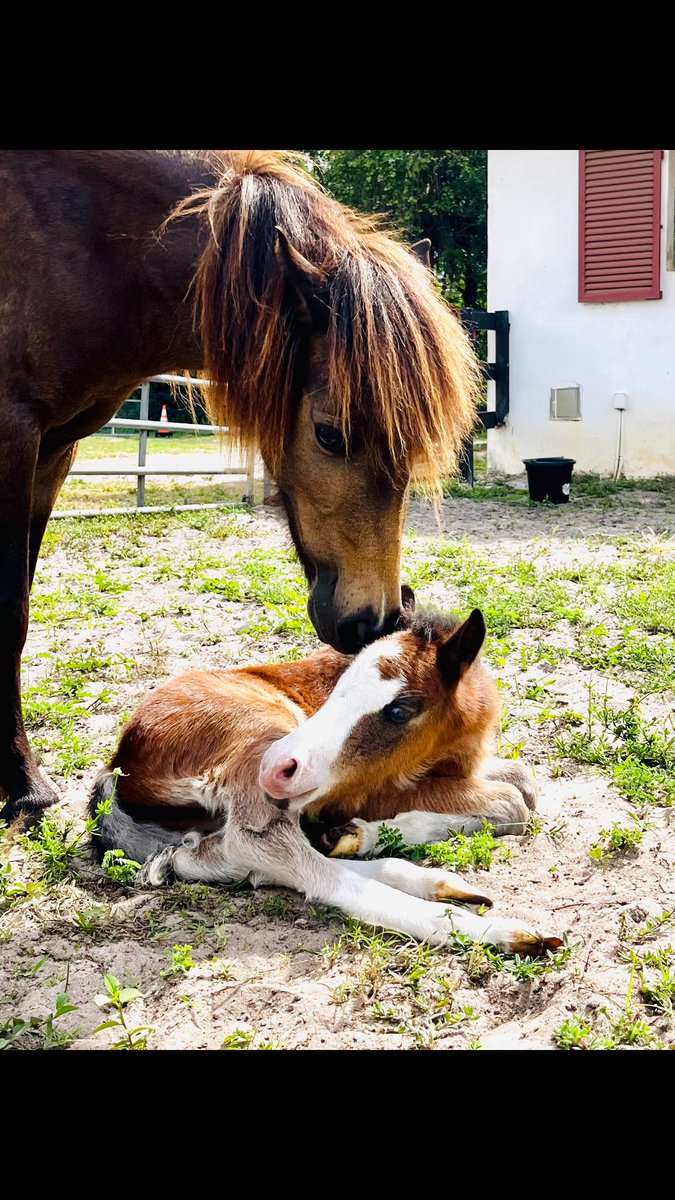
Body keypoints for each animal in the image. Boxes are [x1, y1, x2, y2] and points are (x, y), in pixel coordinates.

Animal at [0, 149, 480, 823]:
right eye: (330, 434)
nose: (374, 622)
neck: (93, 244)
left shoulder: (55, 450)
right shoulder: (14, 432)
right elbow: (10, 614)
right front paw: (24, 783)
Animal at [90, 602, 562, 956]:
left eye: (399, 709)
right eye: (338, 689)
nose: (275, 766)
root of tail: (120, 768)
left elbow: (524, 781)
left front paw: (352, 834)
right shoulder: (370, 789)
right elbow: (513, 802)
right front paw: (364, 830)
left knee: (214, 857)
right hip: (264, 736)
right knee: (270, 852)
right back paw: (499, 930)